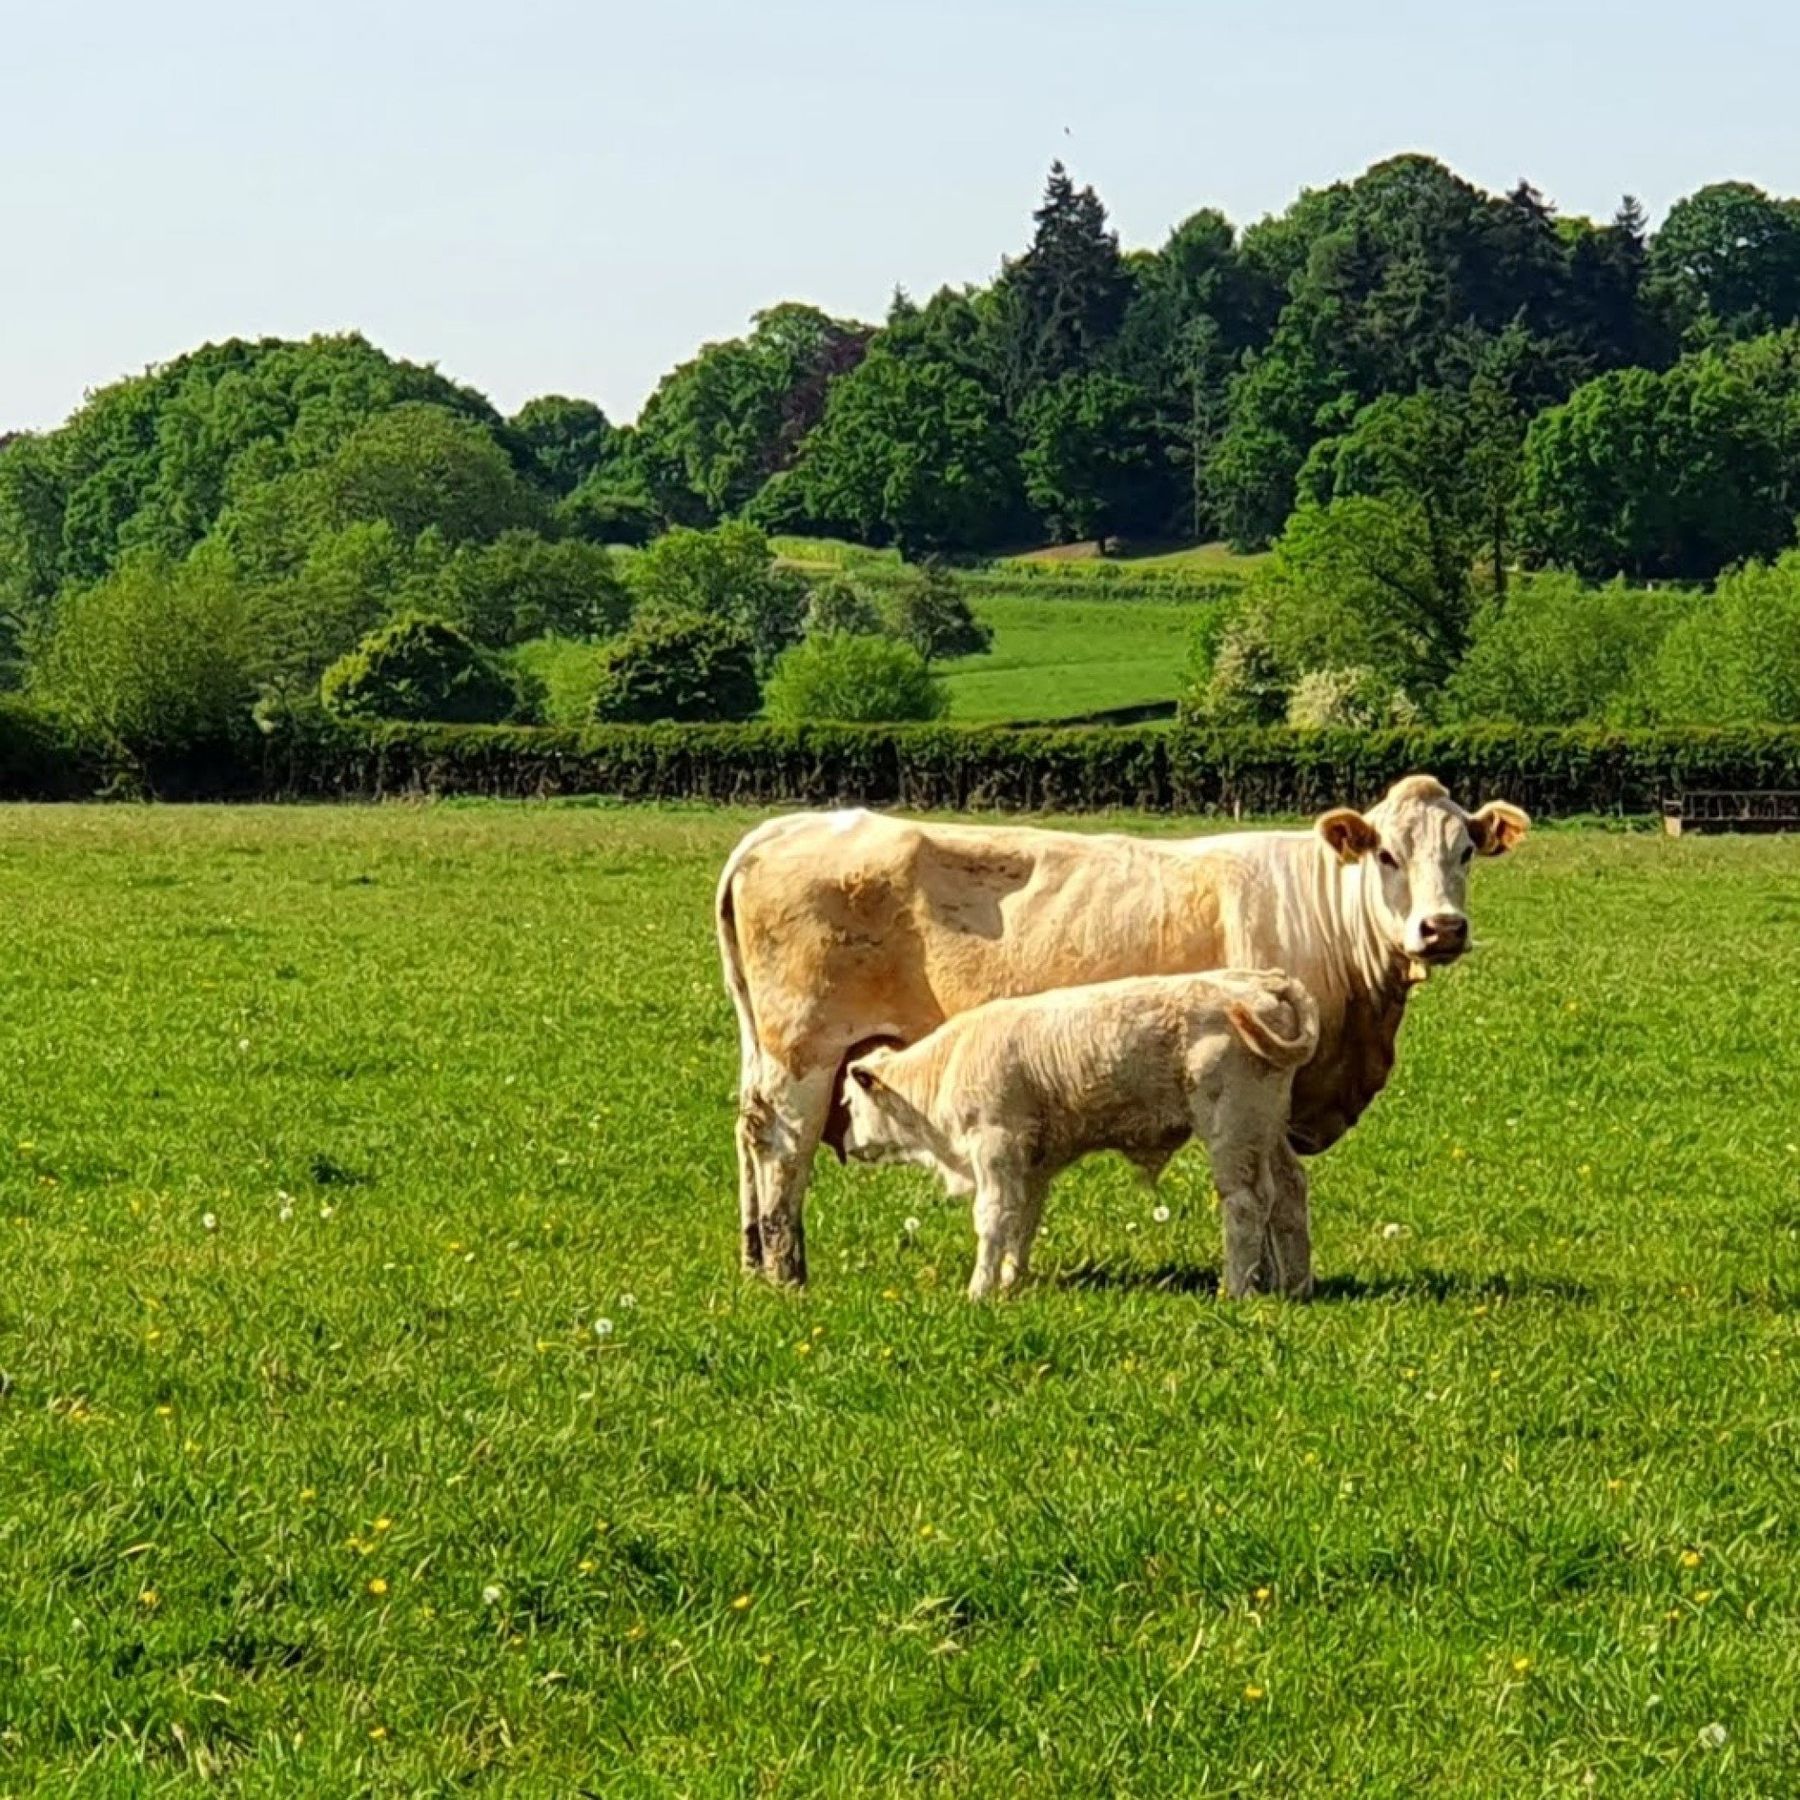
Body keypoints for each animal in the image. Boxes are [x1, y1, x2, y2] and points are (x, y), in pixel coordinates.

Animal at [840, 970, 1321, 1300]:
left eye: (848, 1103)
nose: (847, 1147)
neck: (947, 1064)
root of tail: (1262, 980)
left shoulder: (996, 1146)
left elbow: (993, 1218)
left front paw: (979, 1291)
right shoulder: (1030, 1165)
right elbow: (1023, 1221)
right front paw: (1012, 1281)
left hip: (1232, 1129)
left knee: (1246, 1203)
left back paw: (1235, 1289)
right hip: (1265, 1129)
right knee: (1288, 1191)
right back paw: (1294, 1286)